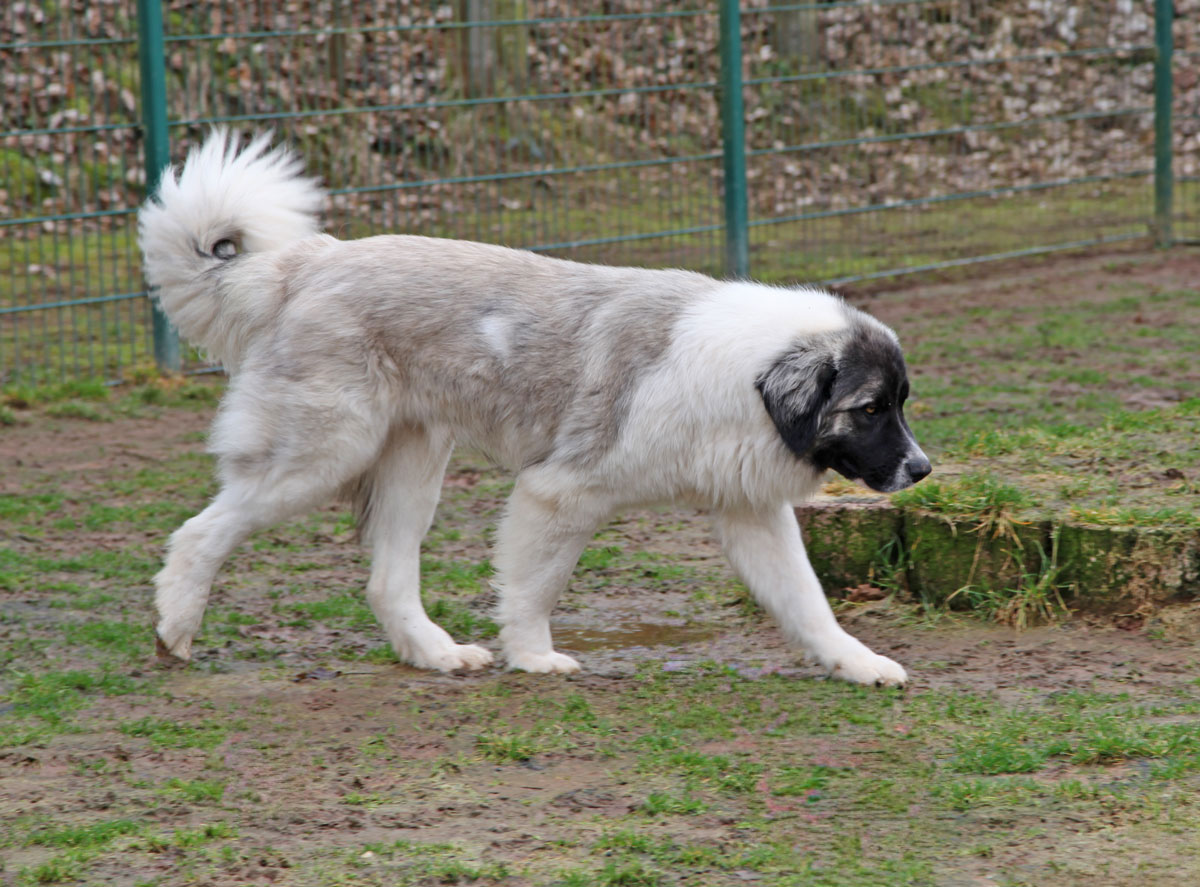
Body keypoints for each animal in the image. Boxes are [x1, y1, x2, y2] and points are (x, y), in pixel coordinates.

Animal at [138, 131, 930, 687]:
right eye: (869, 409)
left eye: (898, 404)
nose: (922, 470)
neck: (743, 379)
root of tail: (308, 262)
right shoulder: (561, 492)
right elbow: (534, 588)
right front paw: (534, 657)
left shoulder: (752, 516)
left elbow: (808, 603)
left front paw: (858, 662)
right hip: (322, 454)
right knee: (202, 530)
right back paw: (176, 625)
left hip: (413, 468)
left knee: (387, 580)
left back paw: (436, 653)